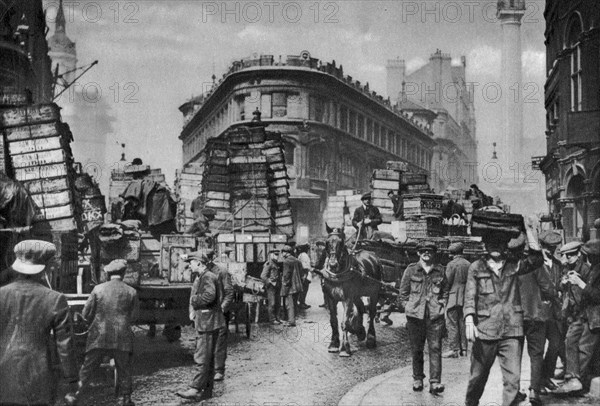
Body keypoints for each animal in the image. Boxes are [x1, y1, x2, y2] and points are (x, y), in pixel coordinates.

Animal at [322, 225, 382, 356]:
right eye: (327, 242)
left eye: (341, 242)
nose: (333, 264)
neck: (337, 274)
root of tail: (373, 255)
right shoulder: (331, 298)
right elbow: (334, 321)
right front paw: (334, 344)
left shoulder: (348, 298)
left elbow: (344, 322)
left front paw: (345, 348)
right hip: (357, 295)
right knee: (360, 308)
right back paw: (360, 331)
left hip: (374, 293)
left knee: (372, 312)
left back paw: (370, 338)